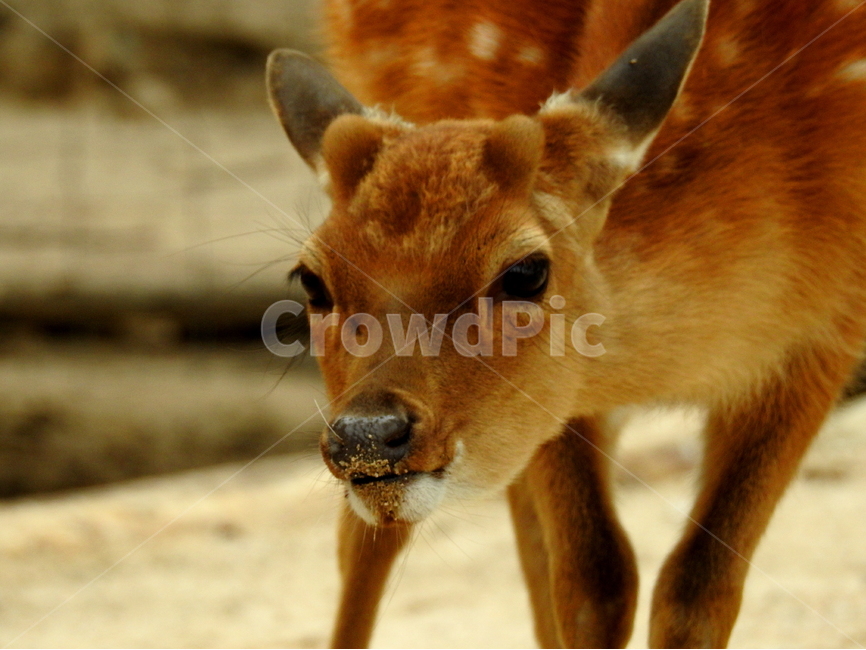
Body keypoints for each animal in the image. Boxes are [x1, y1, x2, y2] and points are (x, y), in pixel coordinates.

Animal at [265, 0, 866, 646]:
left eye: (527, 271)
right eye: (311, 280)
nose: (368, 436)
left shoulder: (826, 334)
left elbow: (698, 587)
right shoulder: (558, 402)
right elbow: (594, 580)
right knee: (370, 540)